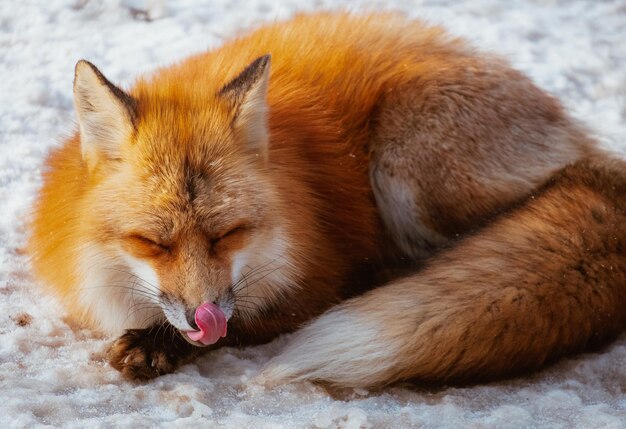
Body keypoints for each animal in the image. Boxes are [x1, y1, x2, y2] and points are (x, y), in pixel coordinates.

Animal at [29, 12, 624, 388]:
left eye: (228, 234)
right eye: (153, 243)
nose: (204, 319)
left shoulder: (314, 278)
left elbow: (257, 317)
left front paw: (159, 344)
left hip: (407, 160)